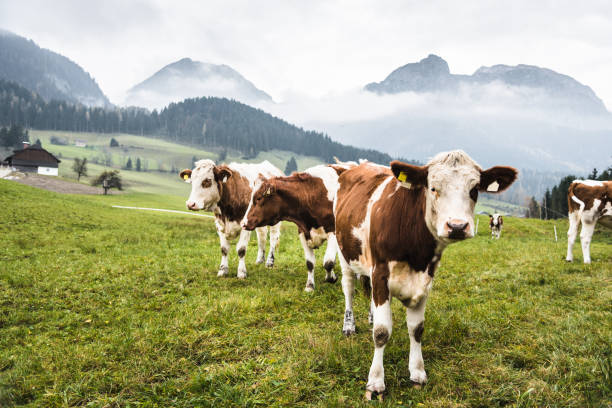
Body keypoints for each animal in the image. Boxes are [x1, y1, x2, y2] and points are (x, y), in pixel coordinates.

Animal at [240, 164, 354, 292]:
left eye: (259, 198)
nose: (243, 223)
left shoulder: (333, 232)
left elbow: (328, 262)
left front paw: (331, 278)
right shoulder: (303, 232)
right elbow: (310, 263)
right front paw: (309, 286)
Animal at [334, 150, 516, 398]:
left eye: (474, 189)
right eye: (433, 188)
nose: (457, 226)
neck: (415, 250)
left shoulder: (425, 277)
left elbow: (417, 329)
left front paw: (417, 373)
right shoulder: (380, 272)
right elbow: (382, 332)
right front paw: (375, 382)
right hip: (344, 252)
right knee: (349, 289)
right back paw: (349, 325)